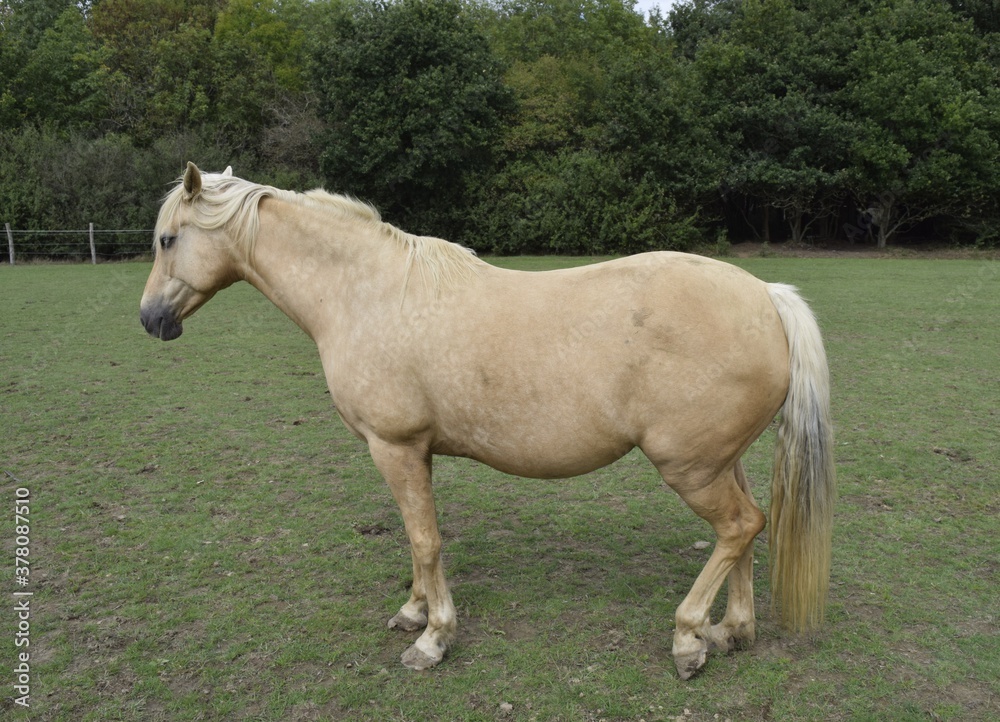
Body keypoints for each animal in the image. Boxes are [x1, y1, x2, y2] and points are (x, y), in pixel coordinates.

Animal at [141, 162, 836, 676]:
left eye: (167, 239)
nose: (150, 319)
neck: (367, 294)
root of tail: (764, 296)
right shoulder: (411, 453)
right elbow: (417, 538)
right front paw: (415, 610)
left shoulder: (394, 446)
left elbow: (425, 539)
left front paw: (432, 638)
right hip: (719, 461)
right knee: (747, 528)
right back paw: (732, 630)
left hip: (689, 467)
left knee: (739, 527)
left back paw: (689, 637)